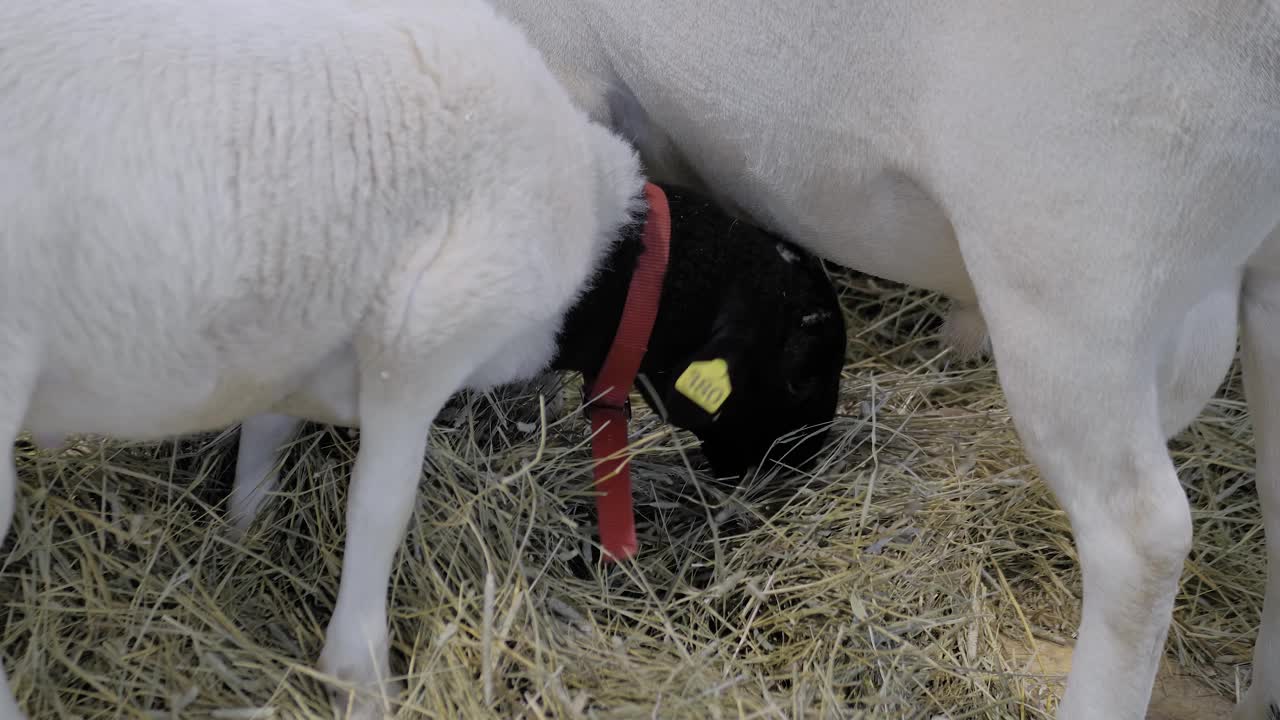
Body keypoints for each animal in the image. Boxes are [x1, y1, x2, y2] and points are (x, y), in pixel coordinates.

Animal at [0, 1, 640, 717]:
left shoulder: (292, 338)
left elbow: (268, 432)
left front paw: (244, 531)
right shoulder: (420, 338)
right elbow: (382, 504)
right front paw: (360, 672)